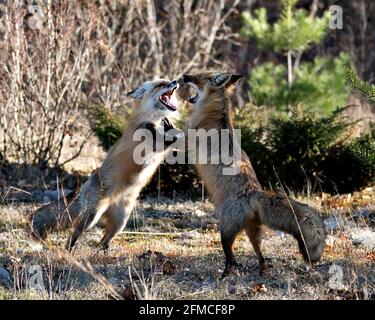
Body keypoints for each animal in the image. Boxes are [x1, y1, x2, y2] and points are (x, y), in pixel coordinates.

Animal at [30, 79, 181, 251]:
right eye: (160, 85)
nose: (175, 81)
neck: (152, 120)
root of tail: (83, 188)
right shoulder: (147, 138)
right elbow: (163, 140)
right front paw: (169, 128)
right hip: (92, 216)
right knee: (74, 235)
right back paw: (70, 250)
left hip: (121, 221)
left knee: (104, 239)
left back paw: (104, 251)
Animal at [181, 72, 324, 278]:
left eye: (198, 76)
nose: (183, 76)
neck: (216, 112)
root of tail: (254, 193)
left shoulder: (187, 139)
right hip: (252, 233)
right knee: (261, 257)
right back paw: (261, 274)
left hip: (225, 232)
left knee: (231, 257)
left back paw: (225, 276)